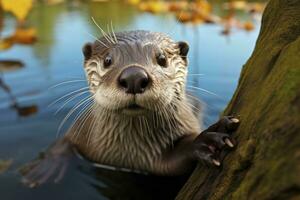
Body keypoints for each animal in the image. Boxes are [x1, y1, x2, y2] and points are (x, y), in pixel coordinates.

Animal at [20, 30, 239, 186]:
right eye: (107, 60)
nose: (134, 77)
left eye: (162, 59)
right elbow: (63, 141)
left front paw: (207, 140)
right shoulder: (82, 131)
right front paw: (43, 167)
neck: (127, 155)